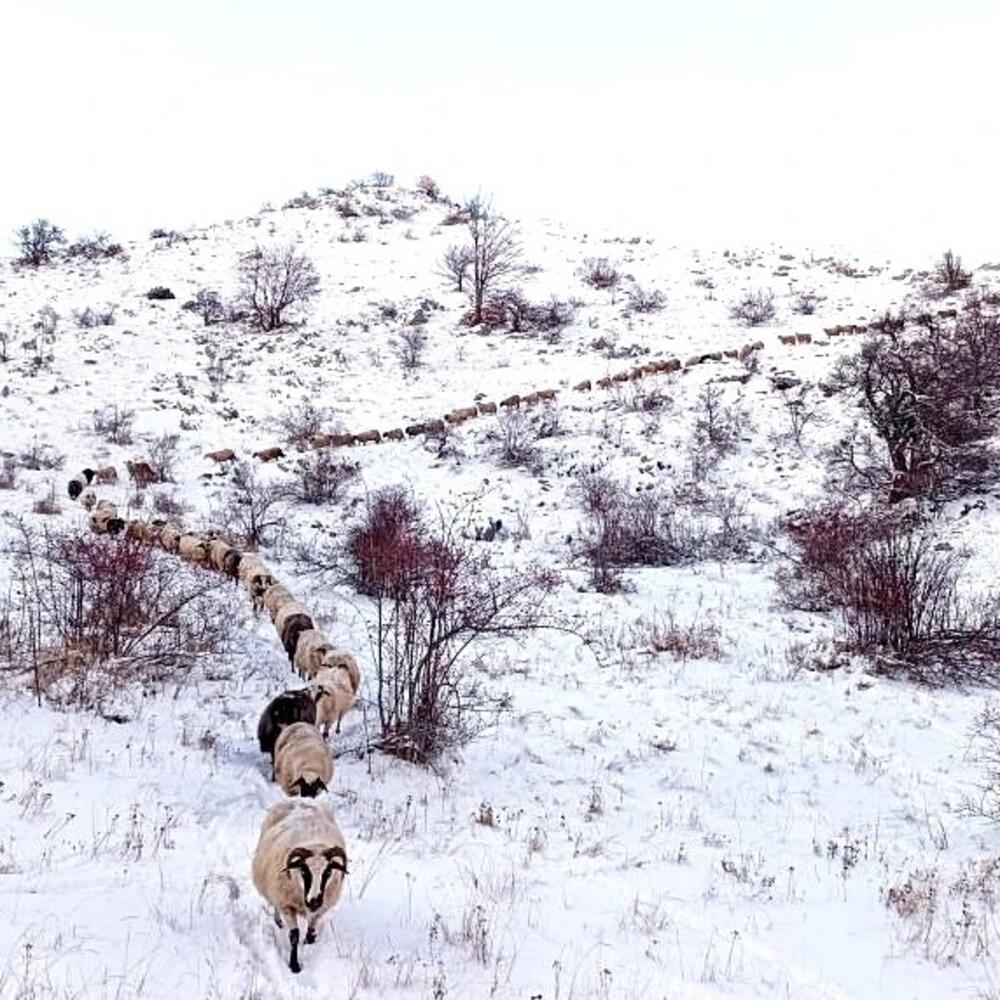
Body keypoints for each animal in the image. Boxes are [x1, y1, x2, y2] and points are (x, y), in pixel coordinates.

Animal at [250, 796, 348, 976]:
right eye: (303, 870)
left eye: (328, 872)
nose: (314, 900)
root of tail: (301, 798)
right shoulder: (286, 904)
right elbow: (294, 935)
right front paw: (294, 965)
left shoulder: (321, 909)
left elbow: (310, 934)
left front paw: (307, 944)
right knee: (275, 906)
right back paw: (278, 921)